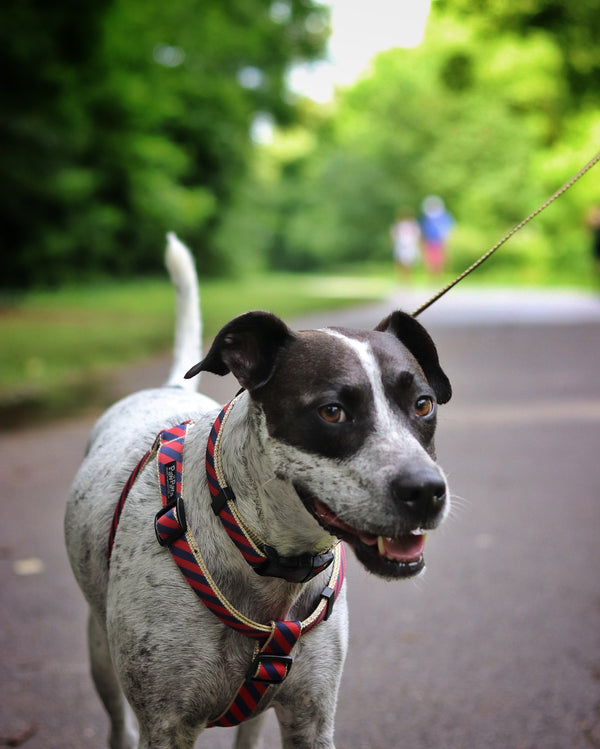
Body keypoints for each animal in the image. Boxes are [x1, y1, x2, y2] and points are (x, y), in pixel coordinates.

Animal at [64, 234, 450, 748]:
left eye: (423, 404)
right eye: (332, 411)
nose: (426, 491)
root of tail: (170, 387)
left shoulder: (311, 717)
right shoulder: (165, 725)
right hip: (99, 651)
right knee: (116, 725)